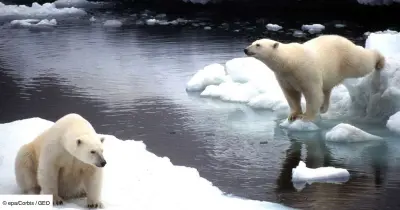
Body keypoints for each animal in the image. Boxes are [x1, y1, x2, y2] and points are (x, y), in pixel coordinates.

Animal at [242, 34, 386, 121]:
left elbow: (312, 93)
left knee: (362, 63)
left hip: (346, 58)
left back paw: (380, 61)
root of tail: (344, 39)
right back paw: (323, 108)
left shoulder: (305, 71)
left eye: (258, 45)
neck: (289, 61)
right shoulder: (284, 76)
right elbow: (291, 94)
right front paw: (293, 115)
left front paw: (306, 117)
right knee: (327, 89)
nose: (245, 49)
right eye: (253, 42)